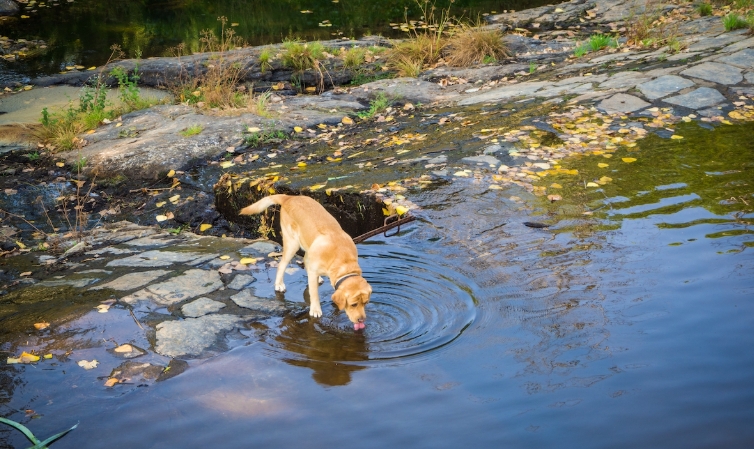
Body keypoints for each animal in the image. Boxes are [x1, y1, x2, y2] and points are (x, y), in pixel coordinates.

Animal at [239, 193, 372, 328]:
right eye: (353, 304)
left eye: (365, 303)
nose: (362, 320)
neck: (343, 260)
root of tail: (289, 197)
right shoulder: (313, 272)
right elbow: (314, 293)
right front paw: (315, 310)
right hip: (292, 244)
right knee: (282, 265)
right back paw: (279, 284)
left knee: (305, 260)